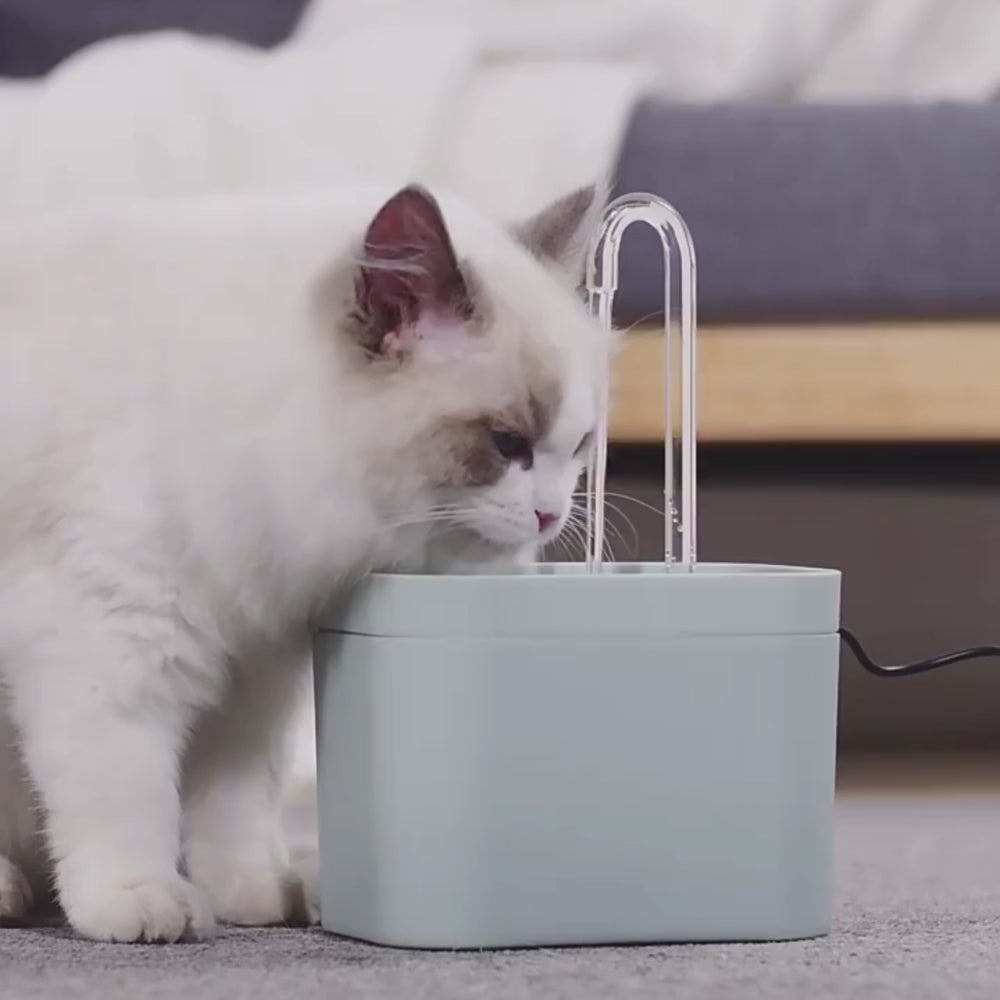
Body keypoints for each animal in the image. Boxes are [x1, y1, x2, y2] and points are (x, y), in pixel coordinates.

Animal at [0, 182, 608, 944]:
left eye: (579, 446)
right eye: (507, 444)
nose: (554, 515)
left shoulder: (251, 670)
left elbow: (233, 807)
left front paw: (256, 898)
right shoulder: (112, 644)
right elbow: (125, 793)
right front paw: (141, 902)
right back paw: (9, 888)